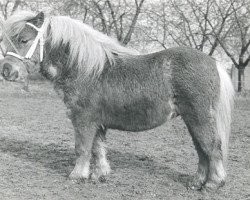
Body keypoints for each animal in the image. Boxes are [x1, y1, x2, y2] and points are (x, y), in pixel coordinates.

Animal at [0, 11, 234, 191]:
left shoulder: (83, 120)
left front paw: (77, 176)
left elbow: (82, 148)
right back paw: (196, 182)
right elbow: (97, 149)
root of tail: (214, 62)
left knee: (212, 148)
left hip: (199, 117)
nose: (7, 71)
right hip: (191, 119)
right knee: (202, 150)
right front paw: (100, 175)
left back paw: (213, 184)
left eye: (24, 40)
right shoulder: (96, 122)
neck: (84, 69)